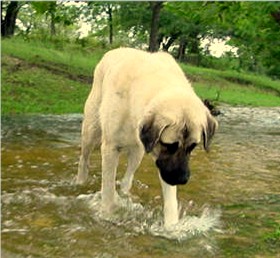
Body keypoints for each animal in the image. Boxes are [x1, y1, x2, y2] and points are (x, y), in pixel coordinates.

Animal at [77, 47, 219, 229]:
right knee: (84, 159)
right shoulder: (110, 148)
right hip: (91, 130)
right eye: (169, 145)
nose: (182, 179)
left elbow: (170, 201)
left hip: (137, 151)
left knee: (127, 179)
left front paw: (172, 228)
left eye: (193, 146)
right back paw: (80, 182)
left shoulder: (163, 164)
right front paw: (107, 216)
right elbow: (107, 192)